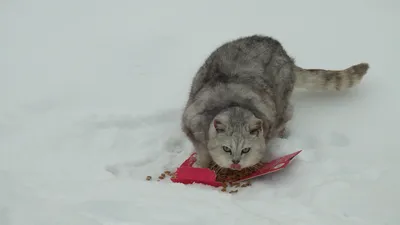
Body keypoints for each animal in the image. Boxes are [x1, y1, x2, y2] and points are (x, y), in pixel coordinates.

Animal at [180, 34, 368, 170]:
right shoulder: (191, 124)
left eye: (246, 149)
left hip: (283, 100)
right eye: (226, 148)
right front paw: (200, 166)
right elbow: (202, 151)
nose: (236, 162)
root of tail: (283, 53)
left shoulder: (269, 120)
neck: (232, 105)